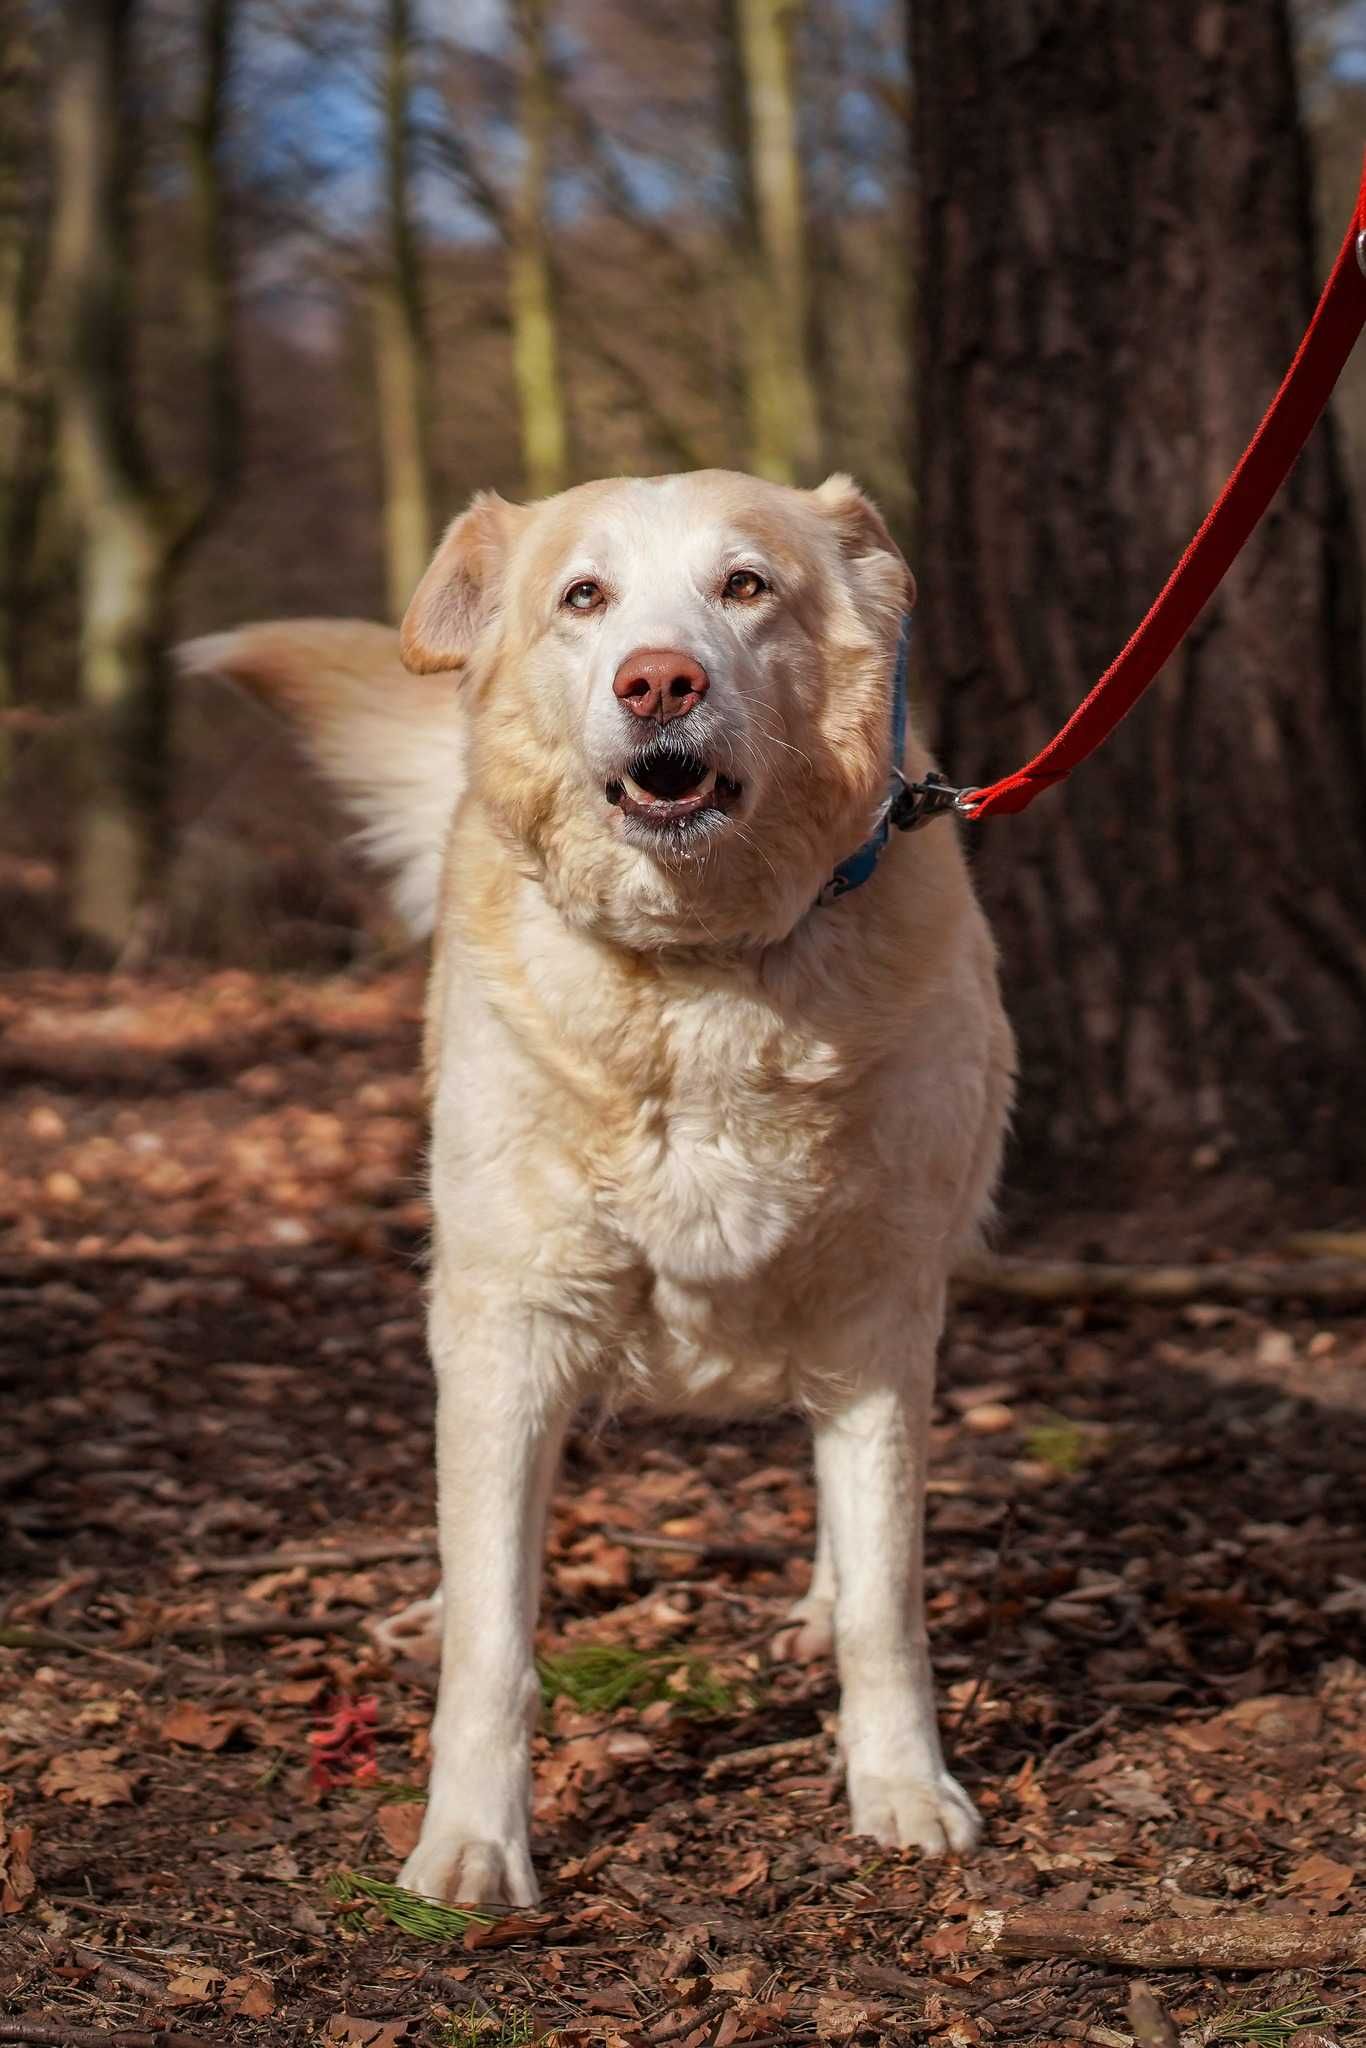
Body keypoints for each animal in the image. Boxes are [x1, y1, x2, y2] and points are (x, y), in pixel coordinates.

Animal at [184, 471, 1015, 1908]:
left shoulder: (875, 1314)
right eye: (585, 596)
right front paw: (470, 1841)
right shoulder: (505, 1325)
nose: (659, 680)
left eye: (745, 585)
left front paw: (903, 1788)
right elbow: (494, 1636)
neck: (698, 972)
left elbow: (885, 1599)